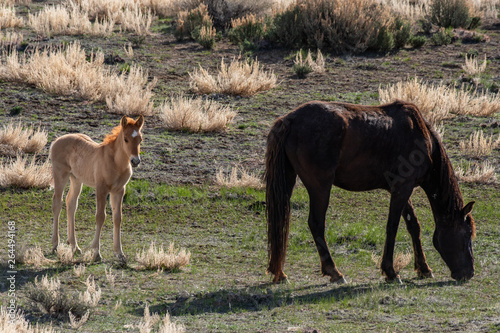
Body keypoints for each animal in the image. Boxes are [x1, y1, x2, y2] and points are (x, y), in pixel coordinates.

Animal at [266, 99, 476, 282]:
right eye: (467, 234)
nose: (469, 273)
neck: (421, 135)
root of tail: (289, 119)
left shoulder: (400, 189)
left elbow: (413, 226)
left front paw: (423, 269)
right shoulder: (402, 188)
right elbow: (392, 227)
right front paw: (391, 272)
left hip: (290, 180)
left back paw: (280, 273)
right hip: (320, 187)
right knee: (316, 224)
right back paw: (335, 272)